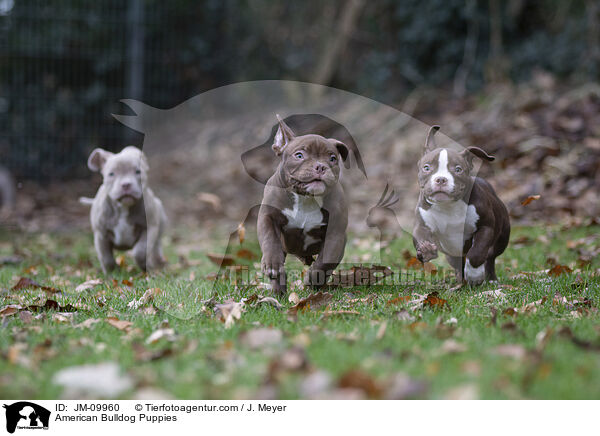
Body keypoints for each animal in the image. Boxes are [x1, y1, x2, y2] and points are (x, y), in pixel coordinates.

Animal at [256, 114, 350, 294]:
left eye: (332, 158)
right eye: (299, 155)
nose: (321, 166)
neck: (306, 197)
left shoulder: (336, 233)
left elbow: (327, 258)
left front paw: (313, 279)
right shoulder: (268, 217)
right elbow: (270, 239)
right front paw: (272, 264)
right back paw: (278, 291)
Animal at [414, 125, 508, 286]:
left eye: (458, 169)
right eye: (426, 168)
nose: (441, 179)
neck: (447, 206)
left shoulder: (486, 227)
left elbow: (477, 252)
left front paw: (474, 275)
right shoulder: (422, 224)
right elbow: (420, 236)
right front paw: (426, 249)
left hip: (502, 239)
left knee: (490, 257)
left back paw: (490, 279)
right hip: (452, 254)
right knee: (458, 262)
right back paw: (459, 280)